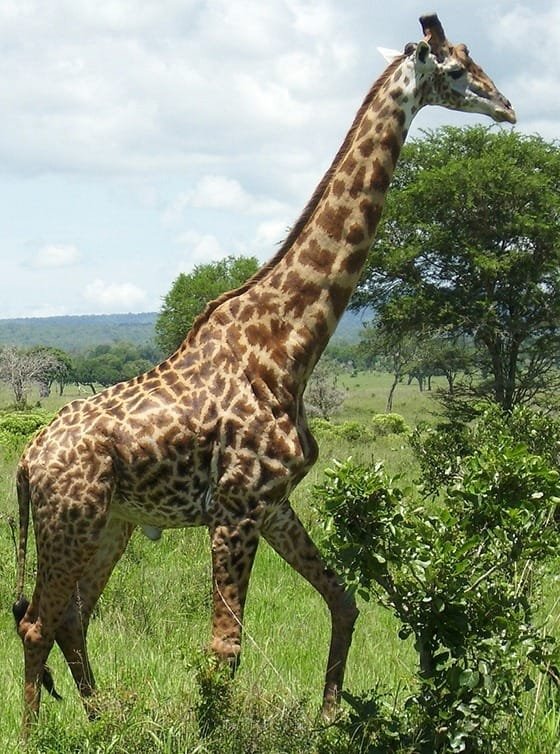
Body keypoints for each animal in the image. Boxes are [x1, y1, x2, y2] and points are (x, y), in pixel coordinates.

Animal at [12, 14, 515, 735]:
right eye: (454, 70)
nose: (507, 107)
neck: (286, 349)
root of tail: (27, 460)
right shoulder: (235, 508)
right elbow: (223, 648)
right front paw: (213, 734)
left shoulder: (274, 503)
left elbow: (344, 600)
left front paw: (331, 716)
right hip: (70, 521)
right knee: (37, 623)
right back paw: (35, 735)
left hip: (112, 523)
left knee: (71, 620)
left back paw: (104, 720)